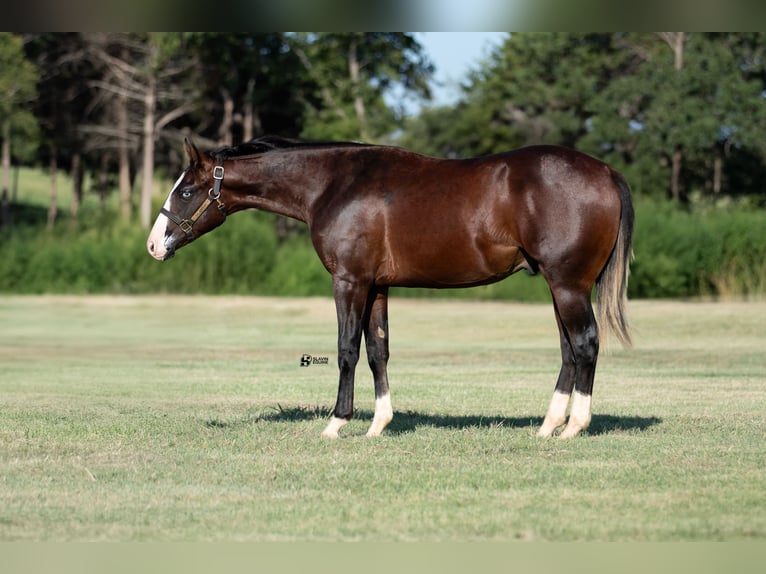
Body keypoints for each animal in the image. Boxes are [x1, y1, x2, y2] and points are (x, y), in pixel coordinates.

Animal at [147, 138, 632, 440]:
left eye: (186, 191)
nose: (154, 244)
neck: (333, 184)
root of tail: (606, 171)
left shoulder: (349, 281)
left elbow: (347, 349)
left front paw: (337, 423)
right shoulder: (377, 286)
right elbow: (378, 351)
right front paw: (378, 424)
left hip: (568, 286)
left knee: (585, 344)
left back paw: (574, 426)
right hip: (558, 287)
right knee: (569, 350)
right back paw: (549, 426)